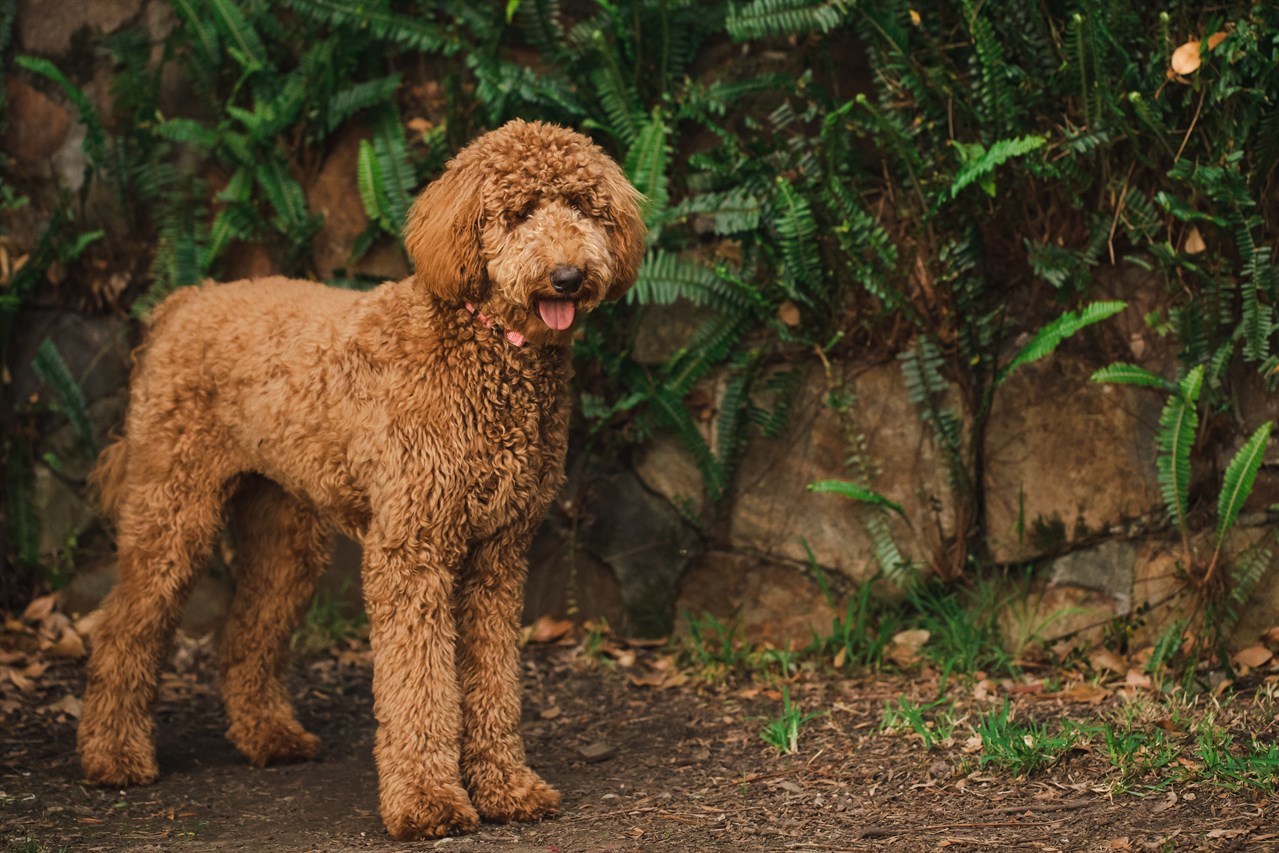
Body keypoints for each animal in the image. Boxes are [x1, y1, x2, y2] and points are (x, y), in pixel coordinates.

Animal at [74, 120, 644, 838]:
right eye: (517, 214)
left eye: (584, 207)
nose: (568, 276)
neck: (483, 345)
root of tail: (187, 300)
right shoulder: (412, 549)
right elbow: (419, 687)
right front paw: (429, 801)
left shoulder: (497, 556)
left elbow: (493, 683)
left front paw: (505, 786)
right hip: (172, 505)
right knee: (123, 626)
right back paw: (113, 755)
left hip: (284, 530)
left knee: (245, 629)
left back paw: (268, 736)